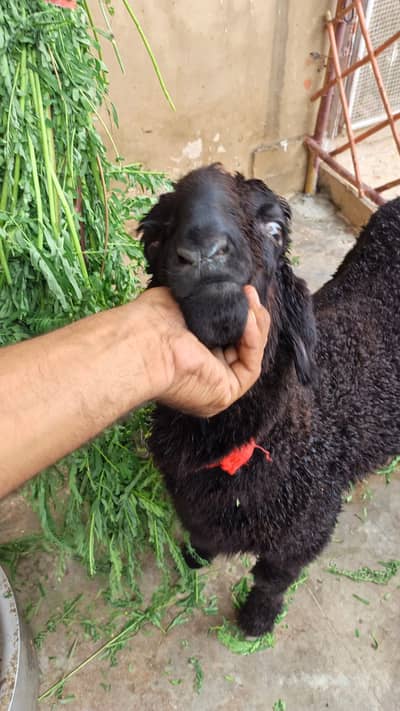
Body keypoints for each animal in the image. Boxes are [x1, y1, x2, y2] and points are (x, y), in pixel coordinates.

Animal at [139, 164, 400, 636]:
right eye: (152, 238)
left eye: (275, 229)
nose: (205, 251)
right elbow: (200, 537)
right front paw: (195, 558)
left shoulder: (308, 527)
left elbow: (272, 579)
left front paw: (255, 621)